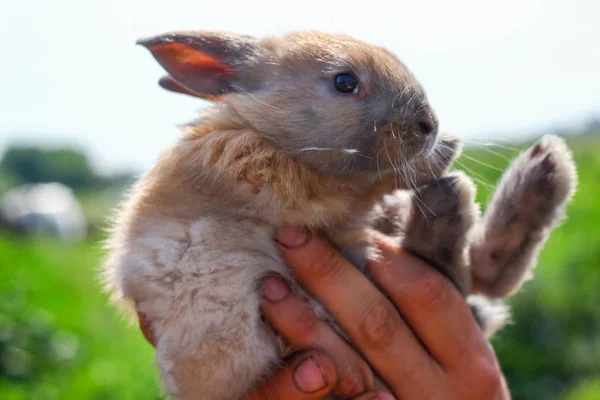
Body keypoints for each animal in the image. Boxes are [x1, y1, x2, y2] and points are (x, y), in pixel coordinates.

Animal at [102, 29, 576, 398]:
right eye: (345, 82)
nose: (430, 125)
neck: (262, 131)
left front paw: (445, 152)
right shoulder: (305, 188)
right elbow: (373, 182)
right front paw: (442, 157)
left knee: (479, 276)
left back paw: (545, 169)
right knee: (458, 272)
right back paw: (464, 197)